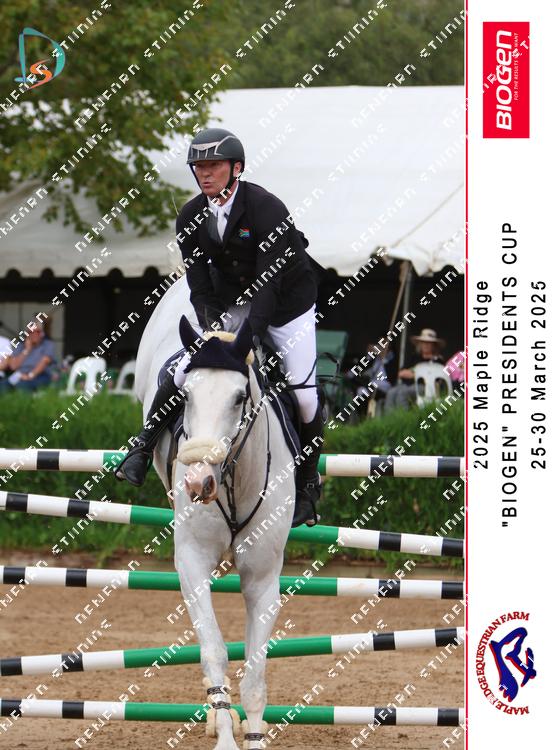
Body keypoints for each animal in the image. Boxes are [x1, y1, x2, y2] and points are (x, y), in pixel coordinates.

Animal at [135, 274, 296, 750]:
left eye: (240, 397)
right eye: (183, 395)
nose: (197, 482)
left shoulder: (263, 578)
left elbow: (256, 672)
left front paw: (254, 735)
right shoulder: (191, 562)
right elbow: (214, 651)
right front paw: (225, 732)